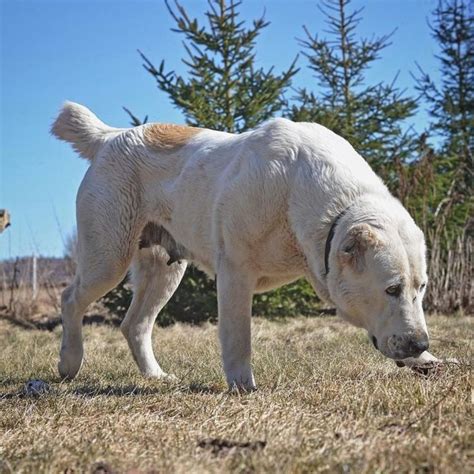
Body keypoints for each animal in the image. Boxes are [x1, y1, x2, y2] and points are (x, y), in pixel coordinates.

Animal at [50, 102, 438, 386]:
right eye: (391, 289)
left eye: (420, 288)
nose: (421, 343)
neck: (298, 194)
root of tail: (112, 136)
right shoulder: (235, 273)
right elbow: (239, 337)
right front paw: (242, 386)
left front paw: (428, 360)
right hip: (108, 258)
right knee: (70, 299)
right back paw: (70, 363)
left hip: (165, 271)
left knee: (135, 325)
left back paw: (156, 376)